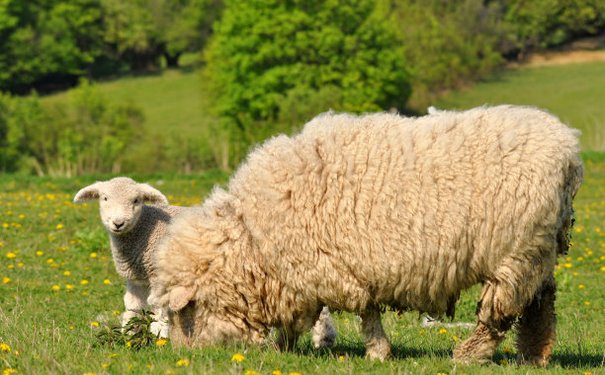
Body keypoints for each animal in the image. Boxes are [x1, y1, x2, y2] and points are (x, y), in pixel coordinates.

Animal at [149, 105, 584, 364]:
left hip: (513, 253)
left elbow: (364, 314)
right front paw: (283, 348)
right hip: (536, 250)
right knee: (541, 303)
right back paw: (534, 356)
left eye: (184, 311)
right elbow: (318, 317)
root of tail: (569, 149)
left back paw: (469, 355)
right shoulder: (310, 275)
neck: (253, 239)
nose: (182, 357)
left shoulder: (332, 270)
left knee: (500, 313)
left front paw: (377, 353)